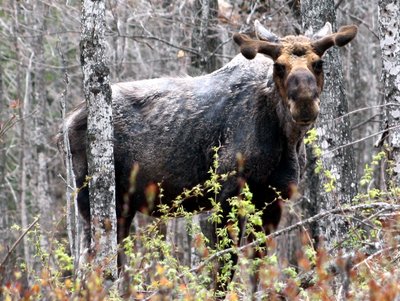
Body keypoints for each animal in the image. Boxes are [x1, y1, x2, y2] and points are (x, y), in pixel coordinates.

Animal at [57, 22, 358, 268]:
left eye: (318, 63)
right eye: (279, 66)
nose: (305, 102)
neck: (287, 141)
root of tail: (66, 124)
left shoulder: (272, 200)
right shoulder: (227, 194)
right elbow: (223, 267)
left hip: (123, 206)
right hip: (92, 201)